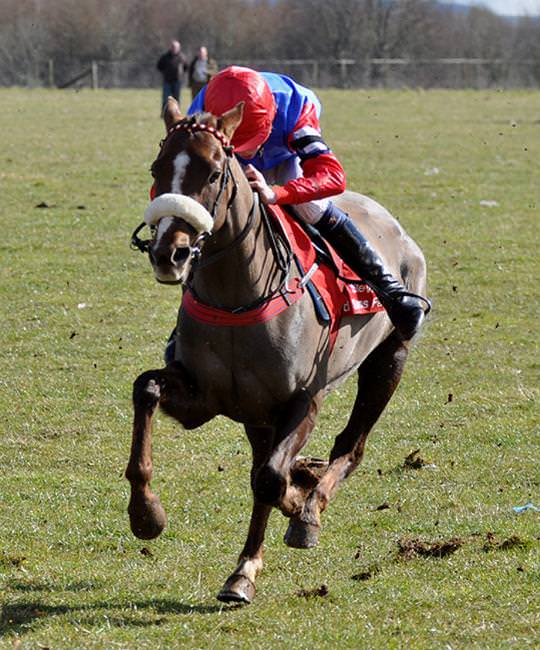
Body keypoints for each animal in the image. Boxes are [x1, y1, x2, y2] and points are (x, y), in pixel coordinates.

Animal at [124, 96, 428, 604]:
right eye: (157, 167)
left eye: (213, 172)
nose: (170, 253)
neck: (237, 296)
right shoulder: (203, 399)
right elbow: (145, 388)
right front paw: (146, 513)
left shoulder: (303, 400)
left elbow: (270, 479)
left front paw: (298, 504)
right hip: (258, 414)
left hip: (390, 358)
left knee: (351, 447)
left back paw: (307, 510)